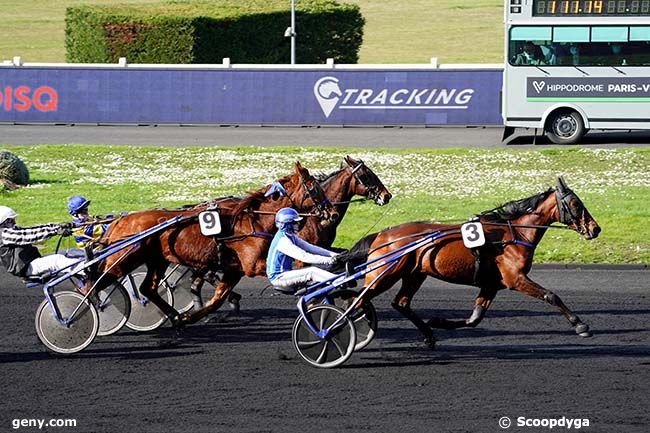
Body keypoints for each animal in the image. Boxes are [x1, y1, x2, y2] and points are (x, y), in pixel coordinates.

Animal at [89, 161, 336, 324]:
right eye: (314, 187)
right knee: (98, 280)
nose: (331, 213)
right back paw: (90, 304)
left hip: (157, 260)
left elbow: (218, 298)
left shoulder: (234, 268)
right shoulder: (251, 265)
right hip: (125, 259)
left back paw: (174, 316)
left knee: (147, 288)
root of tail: (120, 220)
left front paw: (188, 317)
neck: (253, 219)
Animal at [342, 177, 600, 346]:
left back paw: (428, 334)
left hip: (414, 274)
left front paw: (440, 321)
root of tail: (382, 234)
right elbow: (551, 295)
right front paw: (580, 325)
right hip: (384, 274)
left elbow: (474, 319)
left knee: (400, 303)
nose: (595, 229)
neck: (513, 233)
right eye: (575, 204)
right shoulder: (515, 279)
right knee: (357, 300)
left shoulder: (491, 284)